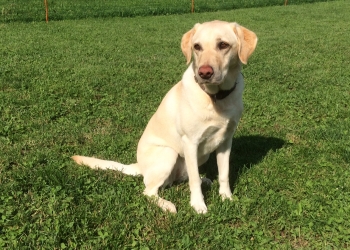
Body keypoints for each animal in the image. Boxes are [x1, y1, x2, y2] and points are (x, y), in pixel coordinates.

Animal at [72, 20, 258, 214]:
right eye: (197, 47)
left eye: (223, 45)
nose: (204, 73)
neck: (216, 97)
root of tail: (140, 166)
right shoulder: (190, 143)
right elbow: (193, 181)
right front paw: (198, 205)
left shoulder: (225, 141)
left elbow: (224, 174)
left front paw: (227, 197)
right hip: (169, 153)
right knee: (149, 191)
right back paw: (167, 205)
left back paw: (204, 180)